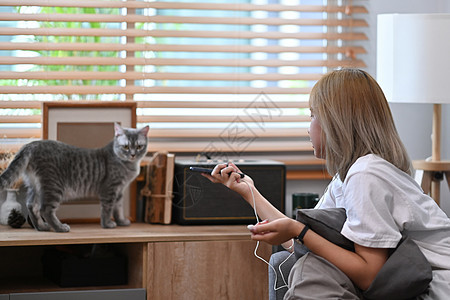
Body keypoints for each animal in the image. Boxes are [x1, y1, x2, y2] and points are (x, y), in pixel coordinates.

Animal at [0, 122, 150, 232]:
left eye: (139, 146)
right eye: (126, 147)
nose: (133, 154)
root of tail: (31, 145)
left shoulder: (119, 191)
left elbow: (118, 208)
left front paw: (121, 221)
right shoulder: (110, 189)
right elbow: (108, 209)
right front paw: (107, 224)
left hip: (35, 186)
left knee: (32, 206)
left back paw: (41, 227)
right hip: (53, 186)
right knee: (45, 209)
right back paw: (60, 227)